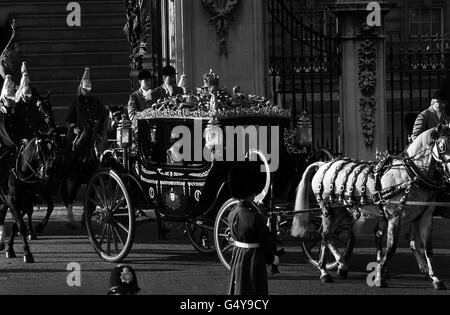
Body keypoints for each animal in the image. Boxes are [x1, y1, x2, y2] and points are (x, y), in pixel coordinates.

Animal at [292, 126, 450, 292]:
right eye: (443, 145)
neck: (410, 174)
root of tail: (323, 164)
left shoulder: (425, 218)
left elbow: (428, 248)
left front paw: (435, 278)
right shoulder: (395, 217)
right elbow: (391, 249)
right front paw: (379, 275)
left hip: (340, 211)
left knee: (326, 236)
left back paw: (331, 268)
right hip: (329, 209)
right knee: (323, 235)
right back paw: (329, 269)